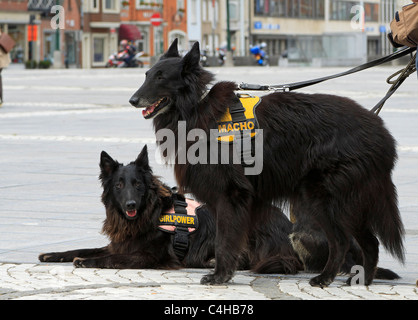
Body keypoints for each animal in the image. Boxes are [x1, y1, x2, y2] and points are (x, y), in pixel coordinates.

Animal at [130, 40, 404, 288]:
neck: (196, 107)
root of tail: (382, 132)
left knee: (342, 242)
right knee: (368, 242)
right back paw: (362, 280)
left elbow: (223, 241)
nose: (133, 100)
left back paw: (326, 278)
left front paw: (220, 276)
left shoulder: (230, 196)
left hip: (324, 201)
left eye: (161, 78)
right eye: (147, 75)